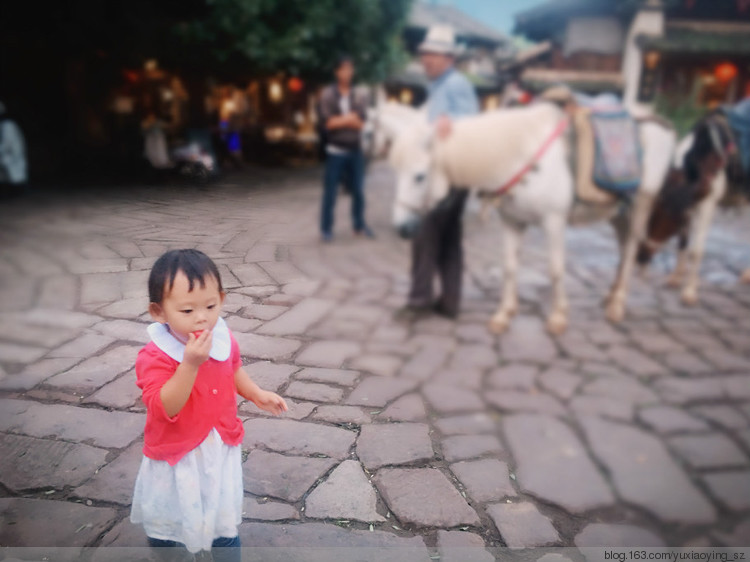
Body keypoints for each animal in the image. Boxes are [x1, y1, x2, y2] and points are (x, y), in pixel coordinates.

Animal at [378, 100, 680, 332]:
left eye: (419, 176)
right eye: (396, 171)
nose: (402, 228)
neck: (521, 158)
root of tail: (661, 122)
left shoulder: (554, 221)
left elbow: (555, 270)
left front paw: (558, 317)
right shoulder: (512, 221)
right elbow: (510, 267)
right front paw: (504, 314)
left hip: (641, 204)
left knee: (630, 249)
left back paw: (617, 304)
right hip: (618, 211)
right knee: (623, 245)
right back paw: (610, 296)